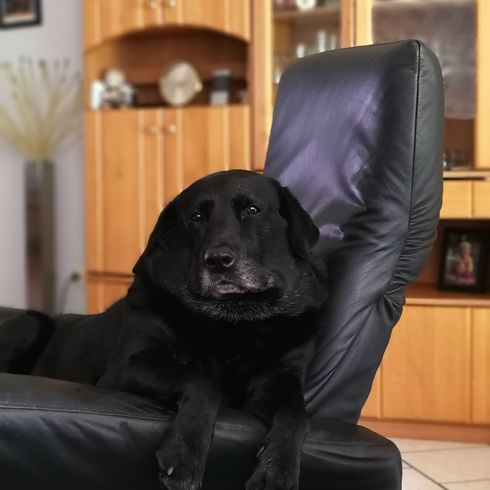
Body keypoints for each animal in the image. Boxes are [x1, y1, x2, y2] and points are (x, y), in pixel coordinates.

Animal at [0, 170, 327, 490]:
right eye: (197, 216)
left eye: (252, 210)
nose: (218, 261)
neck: (233, 320)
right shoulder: (129, 365)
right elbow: (204, 382)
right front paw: (185, 454)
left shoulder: (280, 380)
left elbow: (297, 414)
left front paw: (277, 471)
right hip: (33, 321)